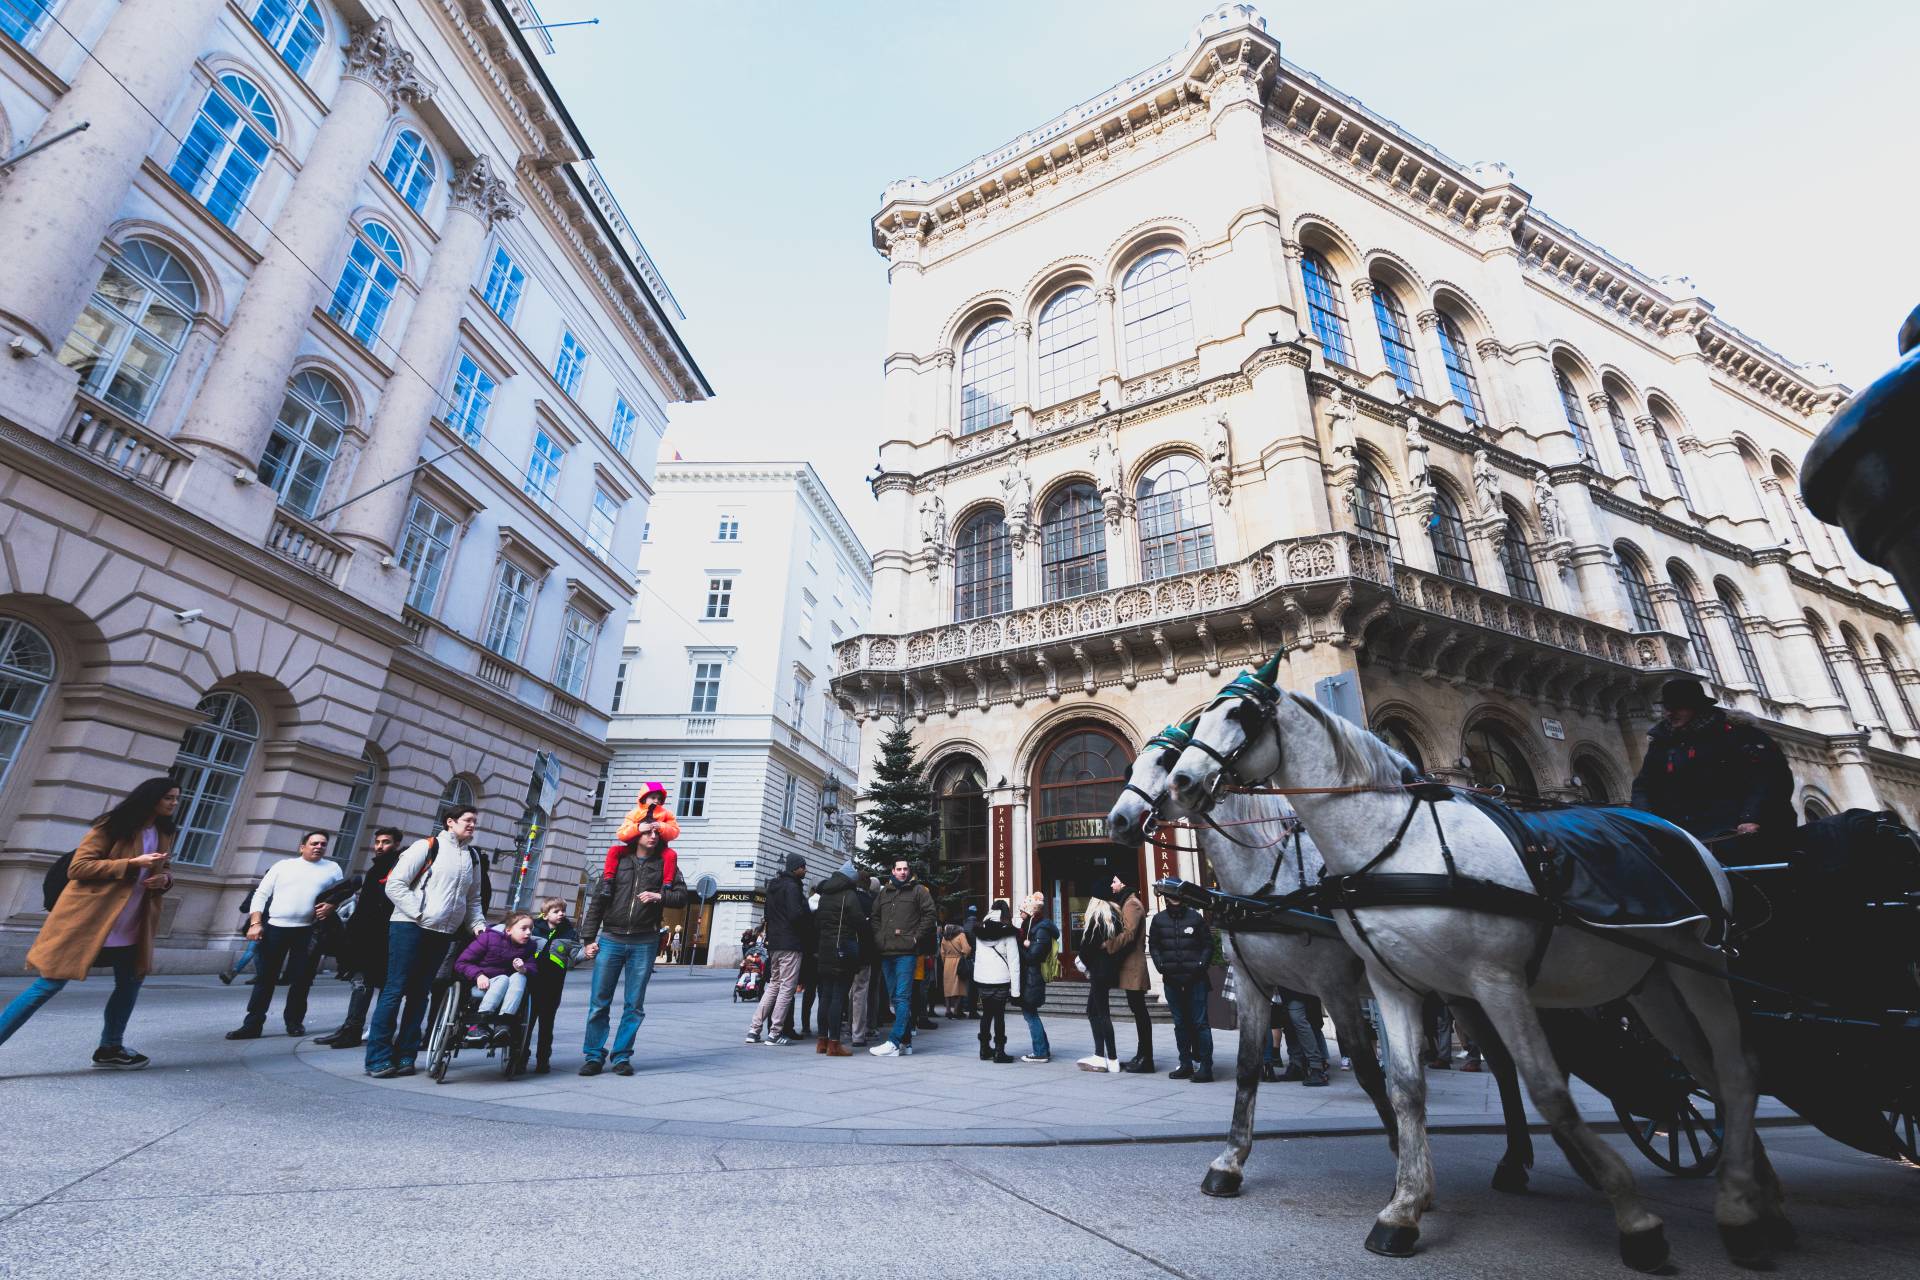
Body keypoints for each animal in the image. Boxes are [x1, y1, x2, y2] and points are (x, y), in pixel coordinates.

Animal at [1105, 729, 1536, 1205]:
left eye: (1168, 762)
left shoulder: (1334, 985)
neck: (1270, 876)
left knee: (1503, 1061)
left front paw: (1401, 1163)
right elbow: (1247, 1068)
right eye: (1130, 767)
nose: (1118, 820)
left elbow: (1369, 1070)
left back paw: (1513, 1159)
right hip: (1457, 992)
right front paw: (1228, 1163)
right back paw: (1514, 1160)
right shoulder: (1253, 983)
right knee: (1504, 1062)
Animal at [1159, 671, 1789, 1274]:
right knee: (1694, 1068)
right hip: (1645, 982)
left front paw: (1635, 1222)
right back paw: (1749, 1193)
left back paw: (1738, 1203)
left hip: (1699, 966)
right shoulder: (1352, 981)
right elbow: (1380, 1083)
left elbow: (1541, 1088)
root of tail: (1685, 836)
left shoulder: (1458, 979)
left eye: (1239, 715)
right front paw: (1396, 1202)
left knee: (1730, 1065)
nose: (1178, 785)